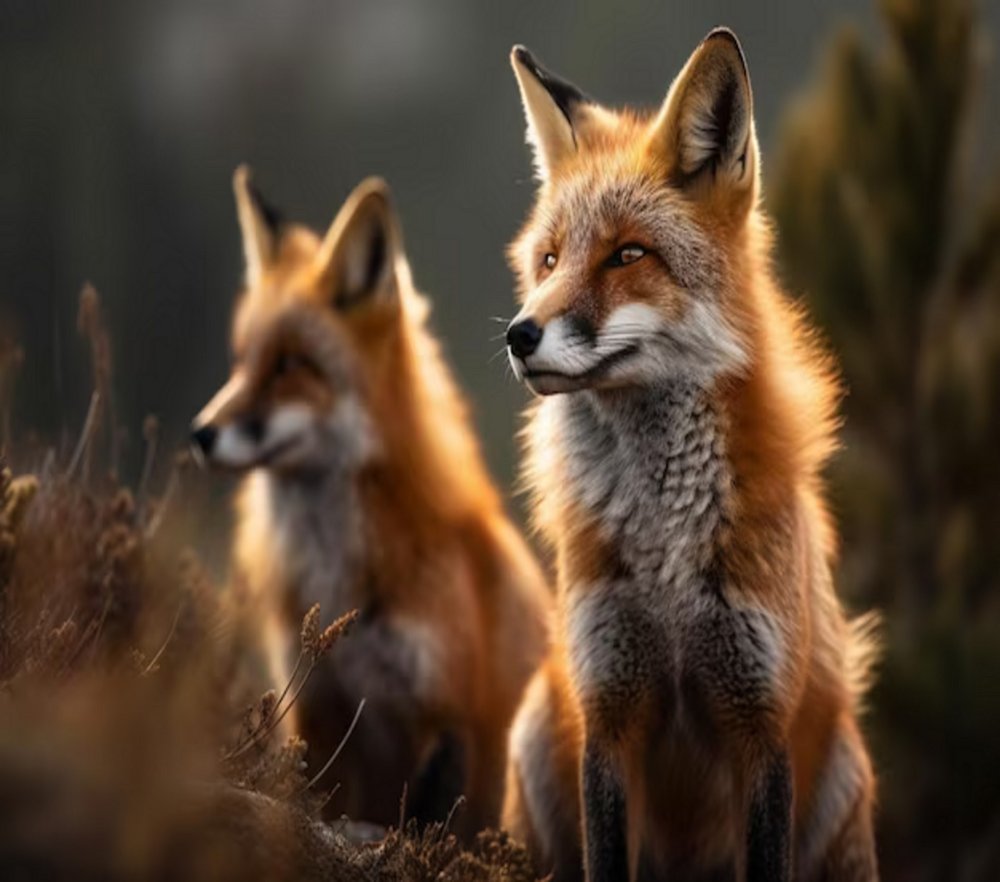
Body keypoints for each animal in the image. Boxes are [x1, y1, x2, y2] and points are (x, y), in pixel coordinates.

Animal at [190, 170, 550, 836]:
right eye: (243, 361)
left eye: (292, 365)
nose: (200, 434)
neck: (341, 581)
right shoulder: (315, 702)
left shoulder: (450, 716)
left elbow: (436, 826)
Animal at [500, 29, 880, 882]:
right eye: (550, 261)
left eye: (627, 255)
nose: (518, 334)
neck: (666, 561)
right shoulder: (608, 711)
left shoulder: (759, 722)